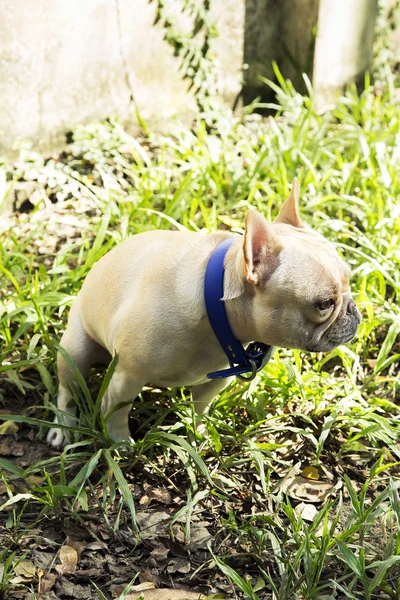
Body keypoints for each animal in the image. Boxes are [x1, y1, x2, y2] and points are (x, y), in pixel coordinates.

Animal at [47, 180, 362, 448]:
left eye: (350, 280)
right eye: (324, 303)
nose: (353, 309)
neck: (214, 313)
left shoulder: (218, 378)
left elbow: (201, 407)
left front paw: (200, 435)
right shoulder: (126, 377)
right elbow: (117, 413)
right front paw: (120, 443)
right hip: (75, 351)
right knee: (67, 391)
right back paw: (63, 429)